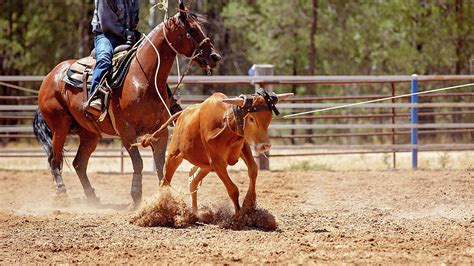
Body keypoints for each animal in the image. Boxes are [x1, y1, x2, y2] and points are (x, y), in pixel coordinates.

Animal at [33, 0, 222, 206]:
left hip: (89, 134)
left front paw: (164, 198)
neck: (142, 78)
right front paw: (136, 197)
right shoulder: (126, 132)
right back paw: (62, 195)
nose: (215, 57)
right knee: (54, 159)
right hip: (60, 126)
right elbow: (138, 163)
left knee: (79, 163)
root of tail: (50, 76)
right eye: (192, 30)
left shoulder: (160, 132)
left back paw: (92, 198)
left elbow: (160, 166)